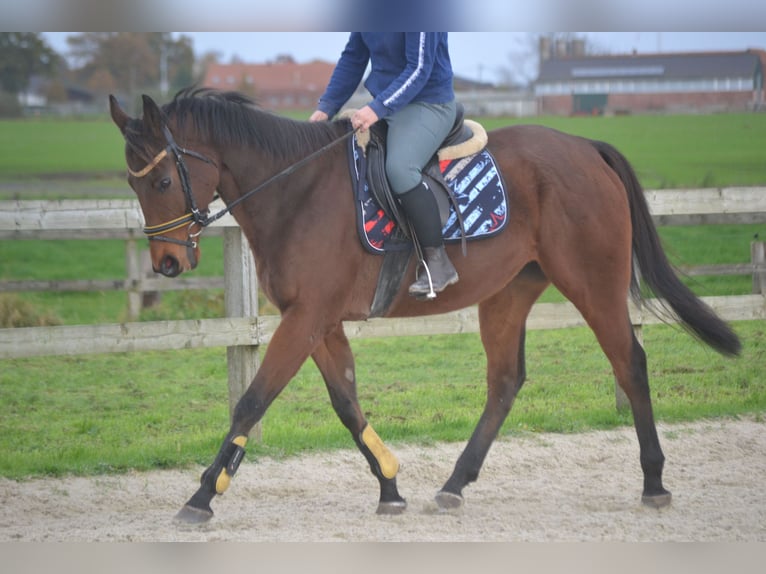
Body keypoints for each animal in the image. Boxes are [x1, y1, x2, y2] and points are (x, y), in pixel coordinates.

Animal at [109, 88, 744, 524]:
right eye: (133, 183)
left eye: (162, 181)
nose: (168, 263)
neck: (295, 191)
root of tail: (586, 146)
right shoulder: (318, 322)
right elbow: (346, 402)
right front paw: (390, 486)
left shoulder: (306, 318)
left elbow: (251, 402)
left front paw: (202, 494)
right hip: (509, 293)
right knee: (505, 380)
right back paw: (455, 483)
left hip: (594, 282)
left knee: (629, 361)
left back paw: (653, 482)